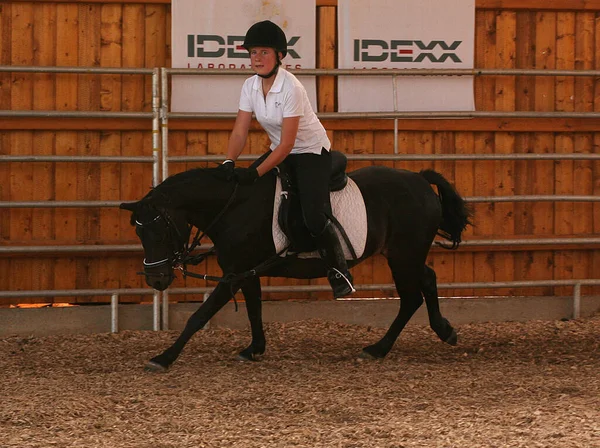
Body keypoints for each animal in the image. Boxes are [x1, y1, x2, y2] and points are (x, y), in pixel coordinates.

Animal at [119, 157, 472, 372]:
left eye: (160, 229)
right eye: (138, 231)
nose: (156, 279)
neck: (233, 206)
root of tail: (421, 181)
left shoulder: (234, 274)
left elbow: (199, 316)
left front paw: (163, 358)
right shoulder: (246, 271)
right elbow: (254, 309)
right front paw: (254, 348)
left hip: (403, 255)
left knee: (412, 296)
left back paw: (378, 348)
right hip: (405, 255)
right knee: (427, 280)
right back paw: (443, 331)